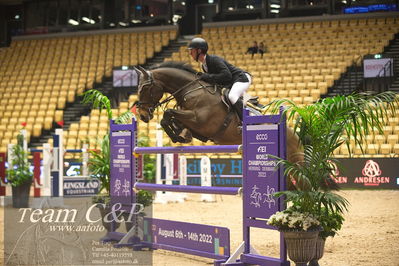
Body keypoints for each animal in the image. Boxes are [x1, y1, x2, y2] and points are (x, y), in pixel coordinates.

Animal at [134, 62, 304, 164]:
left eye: (144, 88)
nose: (142, 115)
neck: (191, 90)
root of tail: (296, 137)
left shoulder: (199, 121)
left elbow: (168, 113)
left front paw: (178, 137)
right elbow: (169, 119)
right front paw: (181, 135)